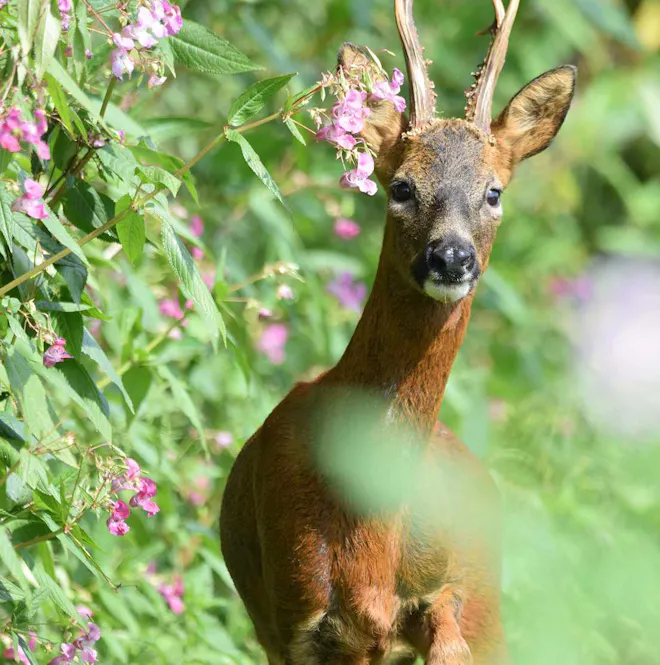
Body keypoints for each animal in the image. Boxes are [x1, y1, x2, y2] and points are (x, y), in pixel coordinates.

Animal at [220, 0, 576, 663]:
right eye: (402, 187)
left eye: (494, 191)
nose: (451, 257)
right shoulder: (296, 616)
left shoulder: (442, 603)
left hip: (487, 606)